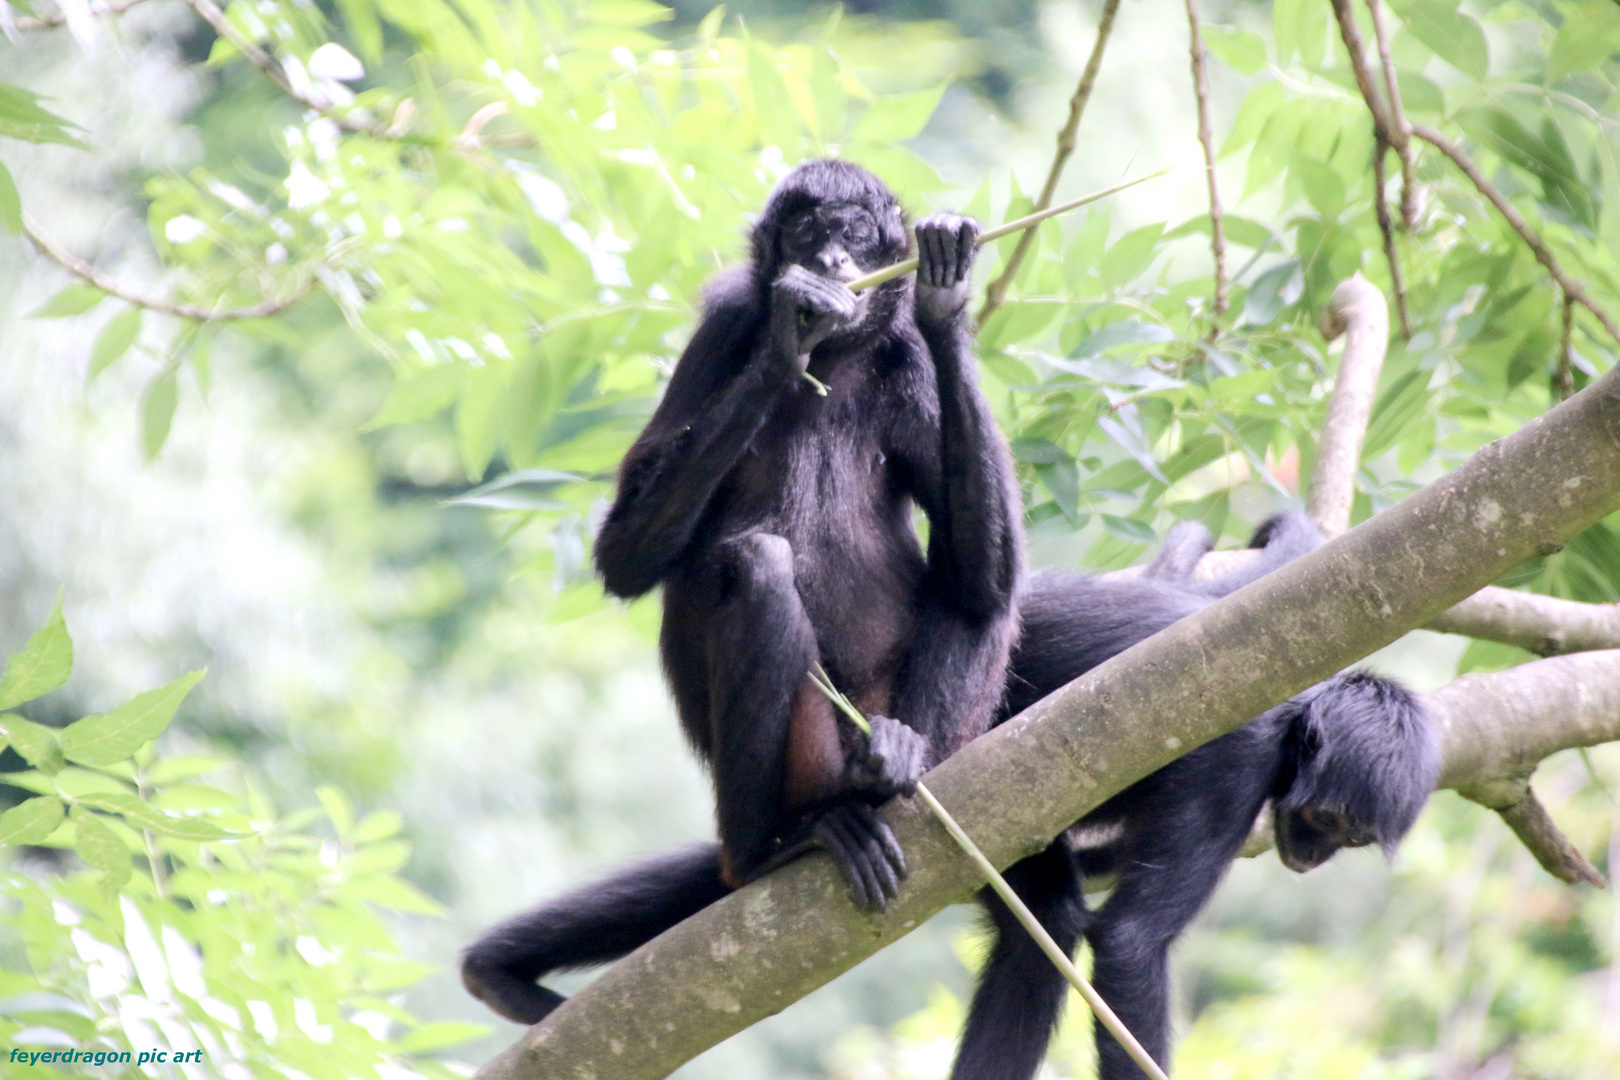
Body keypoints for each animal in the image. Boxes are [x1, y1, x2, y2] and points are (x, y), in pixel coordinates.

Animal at [469, 158, 1017, 1023]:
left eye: (855, 233)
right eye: (807, 233)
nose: (829, 263)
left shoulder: (903, 351)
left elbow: (985, 575)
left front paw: (945, 290)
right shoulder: (725, 322)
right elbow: (626, 557)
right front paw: (789, 334)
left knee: (978, 596)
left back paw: (894, 764)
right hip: (806, 749)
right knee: (760, 567)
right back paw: (777, 848)